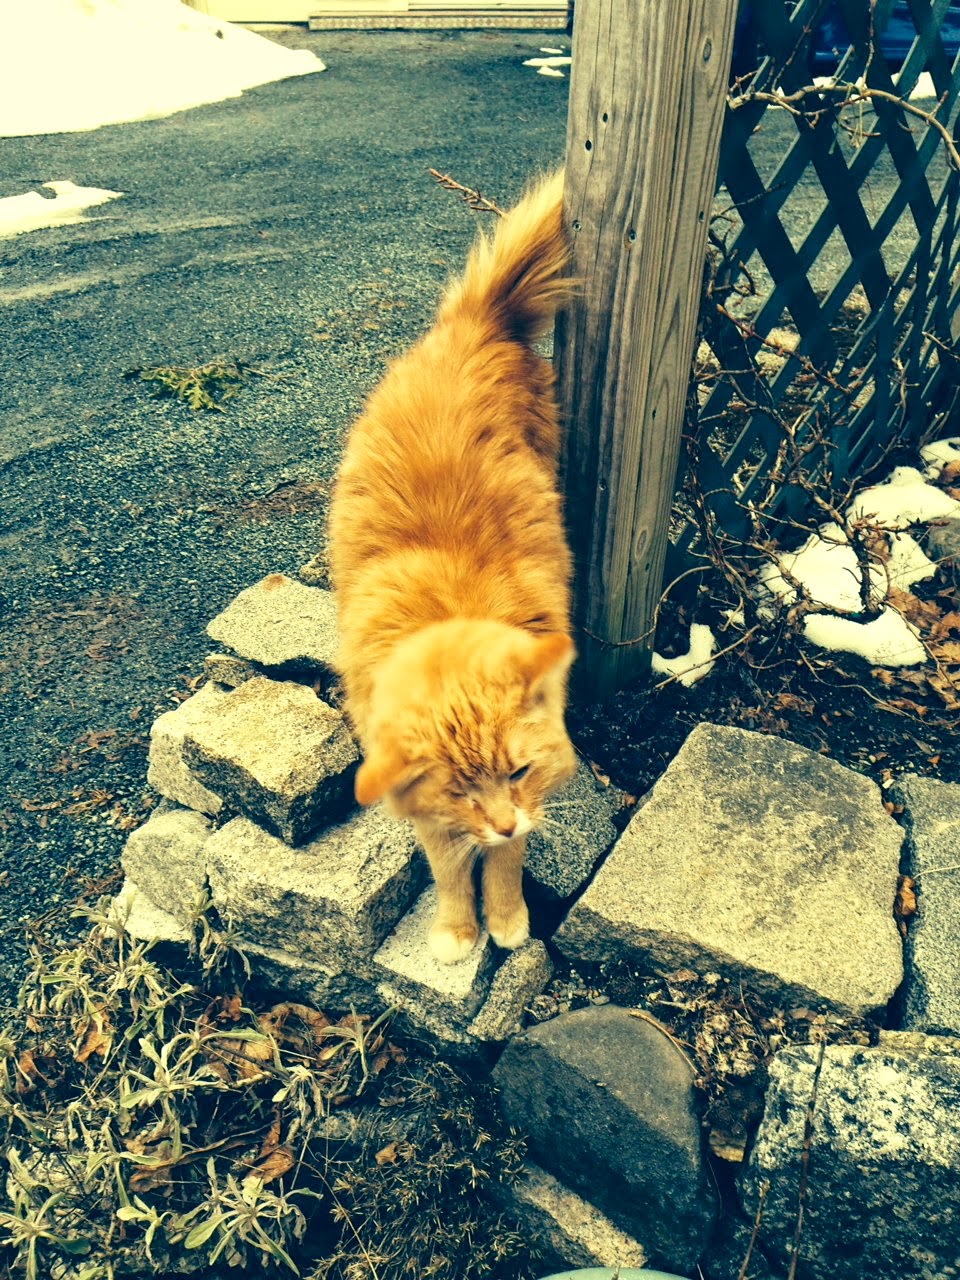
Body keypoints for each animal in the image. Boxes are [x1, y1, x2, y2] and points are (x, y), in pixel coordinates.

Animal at [328, 168, 577, 964]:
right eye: (464, 790)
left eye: (517, 772)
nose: (501, 819)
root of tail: (473, 321)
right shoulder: (429, 813)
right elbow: (447, 866)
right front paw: (455, 930)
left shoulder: (530, 797)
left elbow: (504, 865)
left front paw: (505, 920)